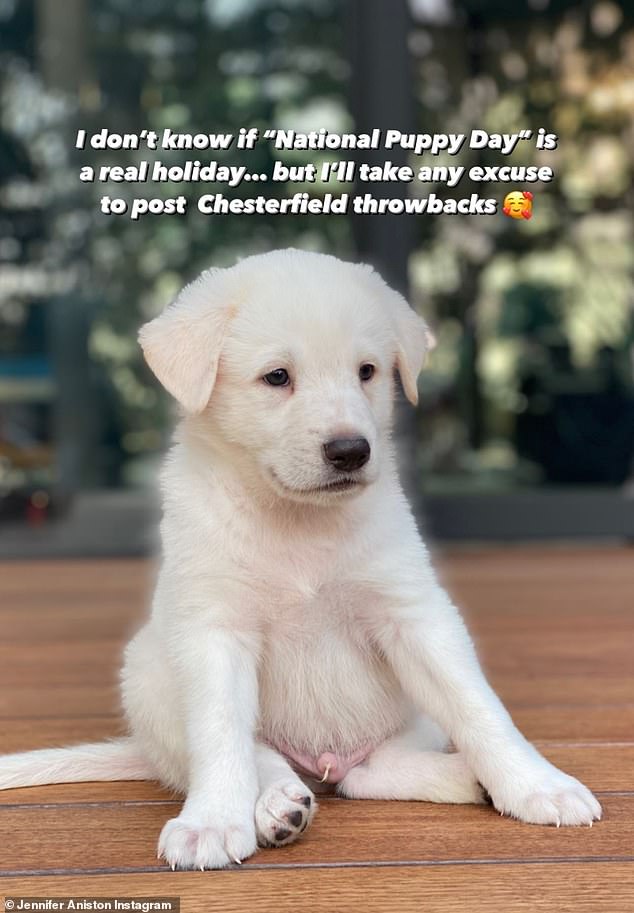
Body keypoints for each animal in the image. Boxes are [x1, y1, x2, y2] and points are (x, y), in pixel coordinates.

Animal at [0, 249, 596, 868]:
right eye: (277, 377)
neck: (298, 523)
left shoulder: (414, 614)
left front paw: (537, 785)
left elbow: (480, 707)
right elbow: (220, 732)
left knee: (370, 772)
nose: (351, 451)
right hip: (148, 675)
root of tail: (324, 762)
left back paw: (465, 777)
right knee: (257, 757)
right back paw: (275, 806)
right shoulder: (215, 630)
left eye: (367, 371)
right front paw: (212, 823)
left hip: (408, 722)